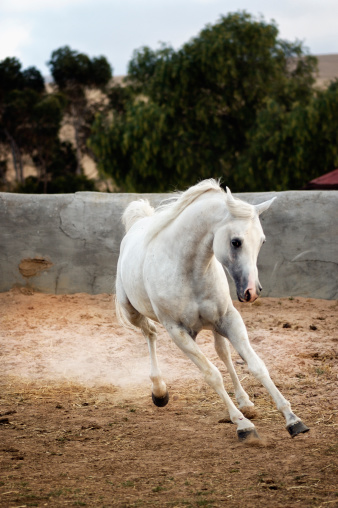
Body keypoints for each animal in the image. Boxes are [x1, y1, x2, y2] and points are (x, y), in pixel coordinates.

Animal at [116, 180, 308, 440]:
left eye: (262, 241)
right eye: (236, 241)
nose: (252, 291)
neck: (187, 269)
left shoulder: (229, 319)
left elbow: (256, 366)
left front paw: (292, 419)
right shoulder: (178, 332)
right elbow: (212, 375)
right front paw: (243, 425)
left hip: (215, 325)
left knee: (223, 353)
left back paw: (246, 401)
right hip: (132, 312)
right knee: (150, 333)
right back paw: (159, 391)